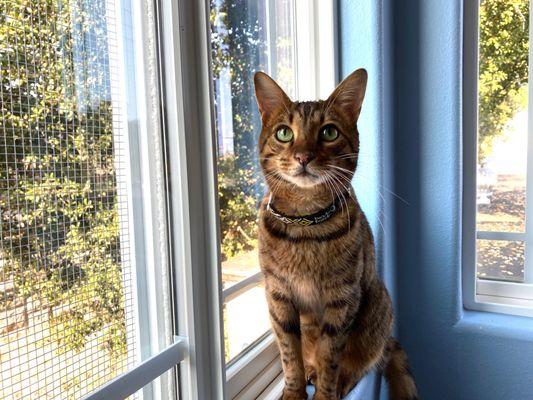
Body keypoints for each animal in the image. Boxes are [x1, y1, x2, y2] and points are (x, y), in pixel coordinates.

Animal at [255, 69, 420, 400]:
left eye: (329, 132)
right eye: (284, 133)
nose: (303, 156)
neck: (305, 222)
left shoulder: (342, 298)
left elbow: (330, 355)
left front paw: (325, 392)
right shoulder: (278, 296)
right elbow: (289, 354)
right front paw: (294, 391)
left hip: (377, 304)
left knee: (362, 362)